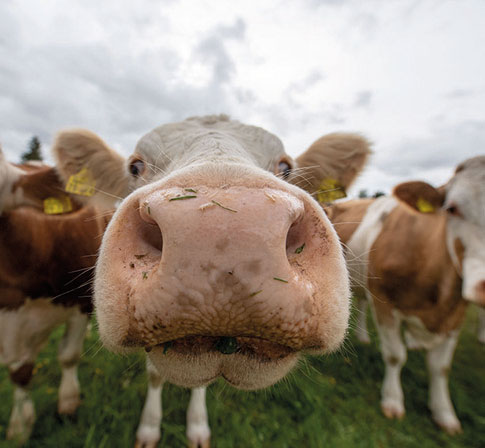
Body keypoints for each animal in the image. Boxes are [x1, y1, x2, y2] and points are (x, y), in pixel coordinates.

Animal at [50, 115, 371, 447]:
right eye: (135, 167)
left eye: (286, 167)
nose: (222, 231)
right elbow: (155, 376)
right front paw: (149, 428)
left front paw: (197, 426)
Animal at [322, 155, 485, 434]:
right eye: (452, 209)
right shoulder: (385, 302)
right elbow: (395, 355)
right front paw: (392, 401)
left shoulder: (456, 316)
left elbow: (440, 368)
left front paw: (444, 413)